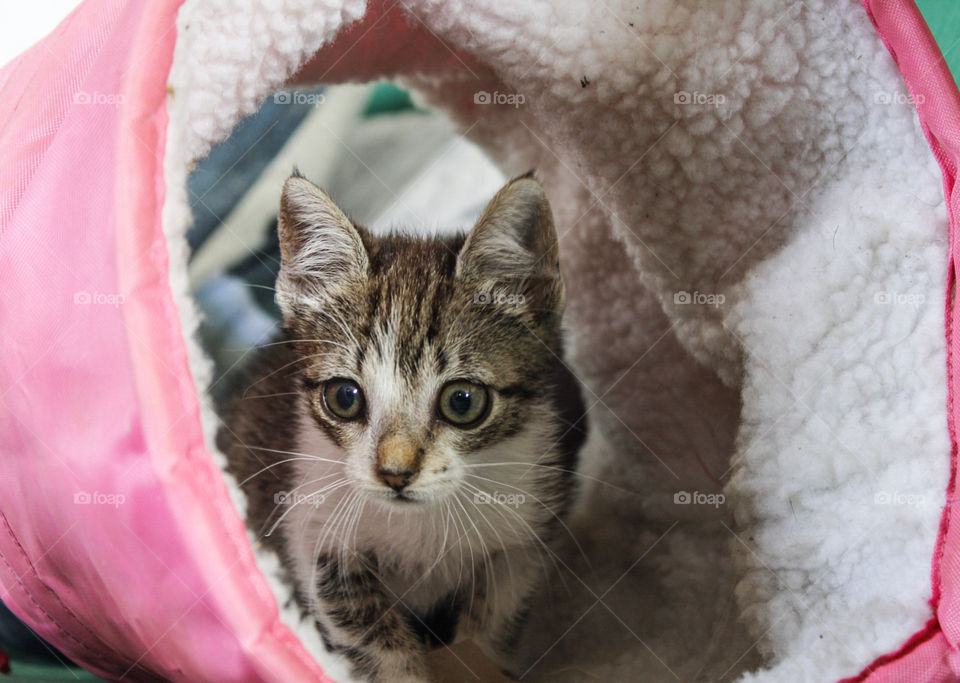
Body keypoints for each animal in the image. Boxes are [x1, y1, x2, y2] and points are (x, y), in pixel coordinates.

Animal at [219, 172, 584, 683]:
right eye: (344, 397)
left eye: (462, 401)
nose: (395, 473)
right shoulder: (314, 532)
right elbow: (369, 637)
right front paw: (399, 667)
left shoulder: (526, 531)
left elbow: (493, 622)